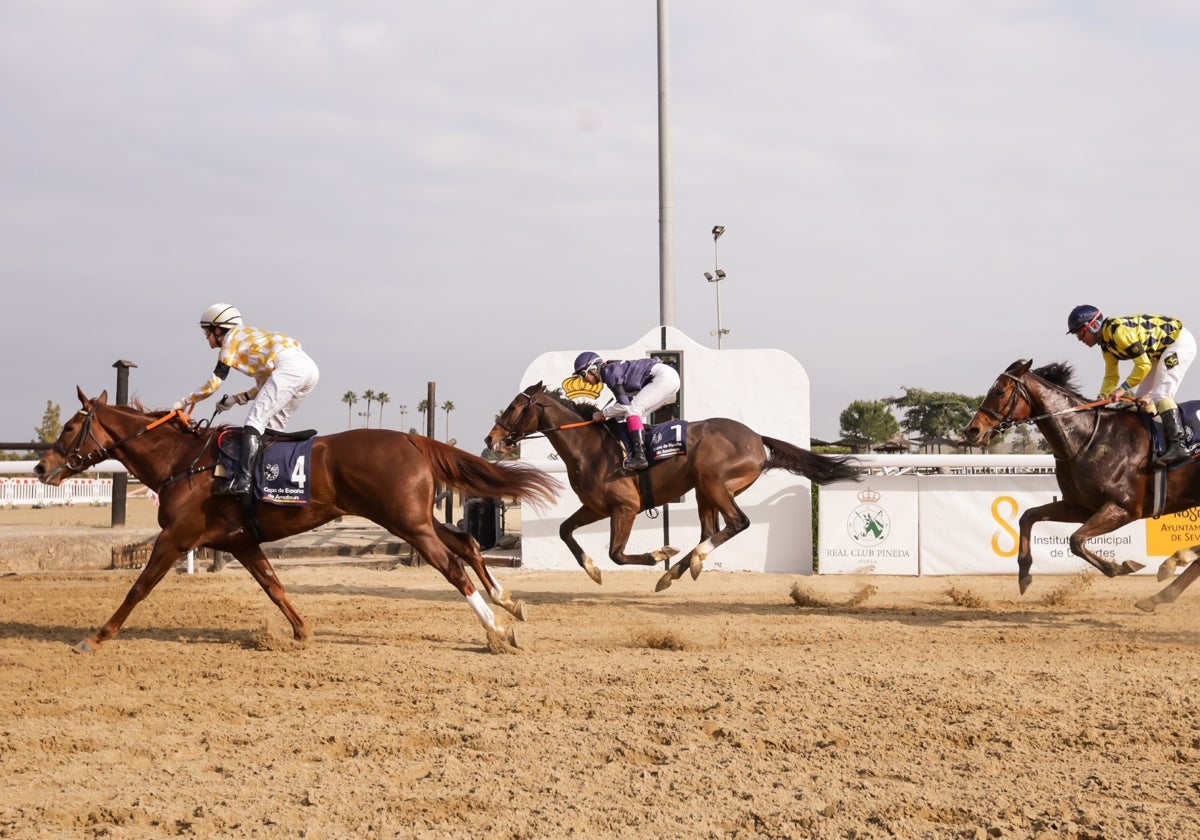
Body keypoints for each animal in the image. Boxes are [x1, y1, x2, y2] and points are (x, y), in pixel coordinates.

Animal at [35, 391, 559, 652]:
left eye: (69, 427)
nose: (42, 468)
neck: (183, 461)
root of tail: (413, 439)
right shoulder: (240, 542)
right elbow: (274, 585)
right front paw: (301, 631)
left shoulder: (176, 536)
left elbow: (138, 587)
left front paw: (96, 636)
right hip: (414, 517)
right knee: (467, 542)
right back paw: (508, 603)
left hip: (405, 522)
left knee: (451, 566)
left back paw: (496, 630)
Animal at [482, 381, 859, 590]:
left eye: (514, 407)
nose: (491, 439)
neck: (589, 448)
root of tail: (756, 437)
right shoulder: (596, 506)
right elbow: (564, 531)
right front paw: (592, 570)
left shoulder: (626, 507)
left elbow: (616, 554)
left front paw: (657, 554)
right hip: (704, 490)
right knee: (710, 530)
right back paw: (677, 572)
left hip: (713, 481)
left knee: (738, 523)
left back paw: (687, 563)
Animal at [960, 360, 1200, 609]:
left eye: (1000, 392)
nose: (972, 430)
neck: (1087, 439)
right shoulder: (1079, 507)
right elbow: (1028, 516)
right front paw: (1024, 574)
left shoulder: (1124, 508)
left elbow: (1075, 540)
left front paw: (1119, 566)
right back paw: (1161, 590)